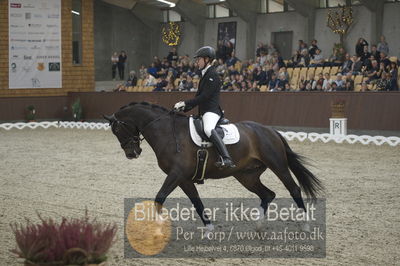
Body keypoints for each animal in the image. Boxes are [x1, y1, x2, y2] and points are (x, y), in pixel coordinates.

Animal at [104, 102, 324, 231]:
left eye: (118, 129)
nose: (132, 153)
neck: (167, 132)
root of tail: (271, 131)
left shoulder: (176, 174)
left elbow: (160, 197)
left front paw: (155, 228)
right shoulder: (183, 178)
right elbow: (197, 202)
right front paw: (209, 228)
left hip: (278, 165)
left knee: (294, 189)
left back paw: (305, 224)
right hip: (247, 176)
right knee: (267, 194)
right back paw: (258, 225)